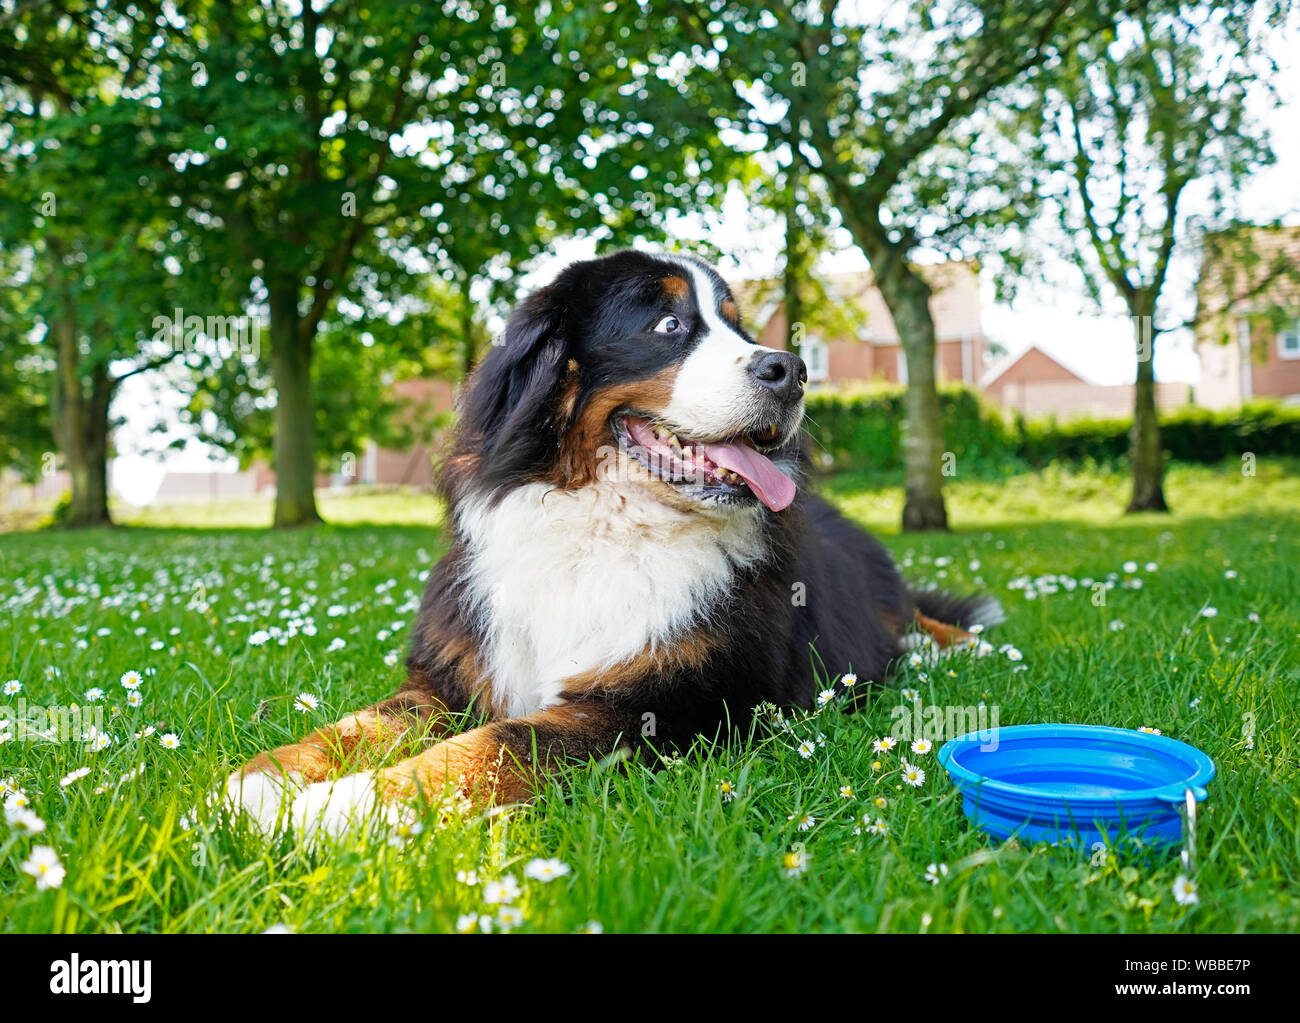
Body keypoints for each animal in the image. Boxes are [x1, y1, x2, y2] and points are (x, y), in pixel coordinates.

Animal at [223, 249, 998, 842]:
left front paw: (339, 808)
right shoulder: (449, 678)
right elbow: (356, 727)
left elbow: (493, 745)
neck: (602, 527)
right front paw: (262, 785)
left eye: (738, 327)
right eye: (669, 325)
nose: (791, 369)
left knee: (920, 619)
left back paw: (967, 648)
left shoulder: (669, 705)